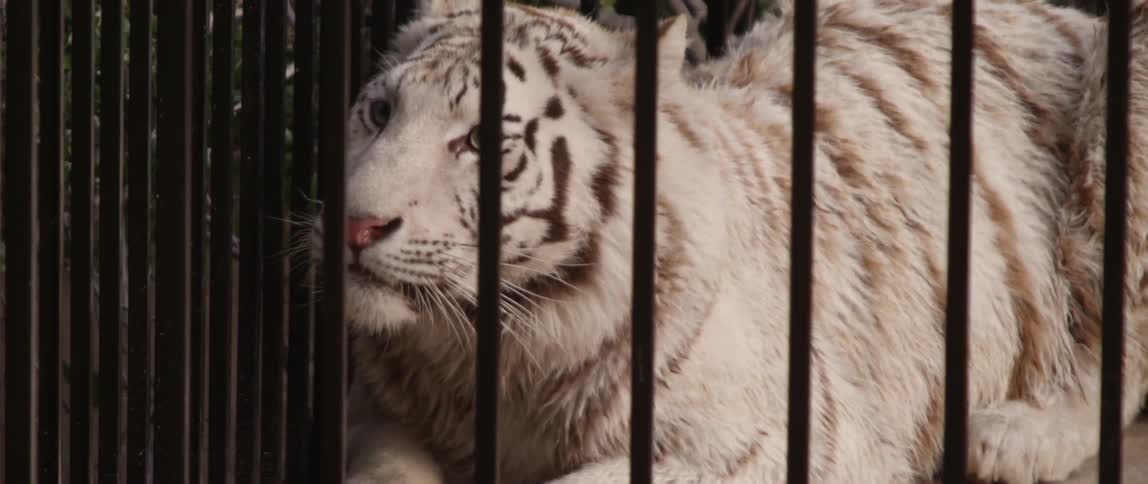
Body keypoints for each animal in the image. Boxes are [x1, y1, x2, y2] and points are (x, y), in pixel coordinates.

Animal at [312, 0, 1148, 482]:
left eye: (481, 141)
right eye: (379, 112)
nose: (355, 223)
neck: (499, 346)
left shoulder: (787, 438)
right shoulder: (381, 413)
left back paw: (1008, 441)